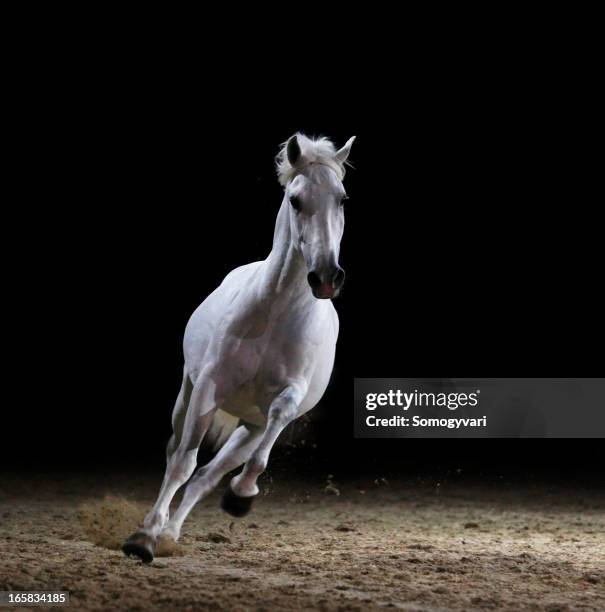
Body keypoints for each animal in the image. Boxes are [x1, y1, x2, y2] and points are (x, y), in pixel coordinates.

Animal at [121, 134, 354, 564]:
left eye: (342, 199)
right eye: (295, 200)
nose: (327, 277)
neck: (275, 313)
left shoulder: (286, 399)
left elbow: (263, 443)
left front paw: (241, 496)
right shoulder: (209, 388)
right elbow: (182, 463)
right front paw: (142, 539)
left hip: (250, 426)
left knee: (209, 475)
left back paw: (172, 534)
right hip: (187, 397)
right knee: (176, 455)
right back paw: (154, 530)